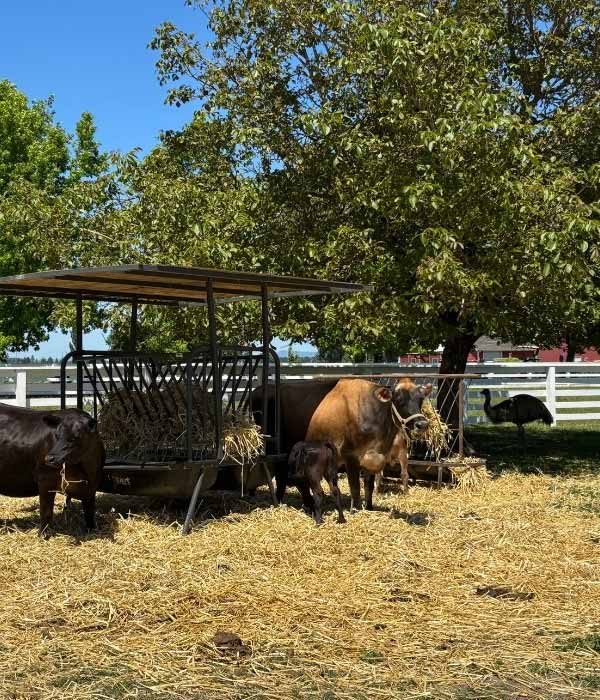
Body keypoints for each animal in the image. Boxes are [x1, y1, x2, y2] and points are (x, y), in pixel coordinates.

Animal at [0, 403, 105, 537]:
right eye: (57, 435)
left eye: (76, 437)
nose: (49, 458)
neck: (87, 469)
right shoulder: (45, 480)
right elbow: (46, 511)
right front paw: (42, 535)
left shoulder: (92, 486)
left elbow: (90, 511)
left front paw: (92, 530)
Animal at [253, 377, 431, 511]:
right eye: (399, 400)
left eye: (421, 399)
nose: (422, 424)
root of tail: (261, 389)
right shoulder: (350, 454)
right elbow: (354, 485)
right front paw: (355, 509)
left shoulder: (374, 453)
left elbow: (369, 484)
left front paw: (369, 507)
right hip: (276, 447)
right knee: (283, 474)